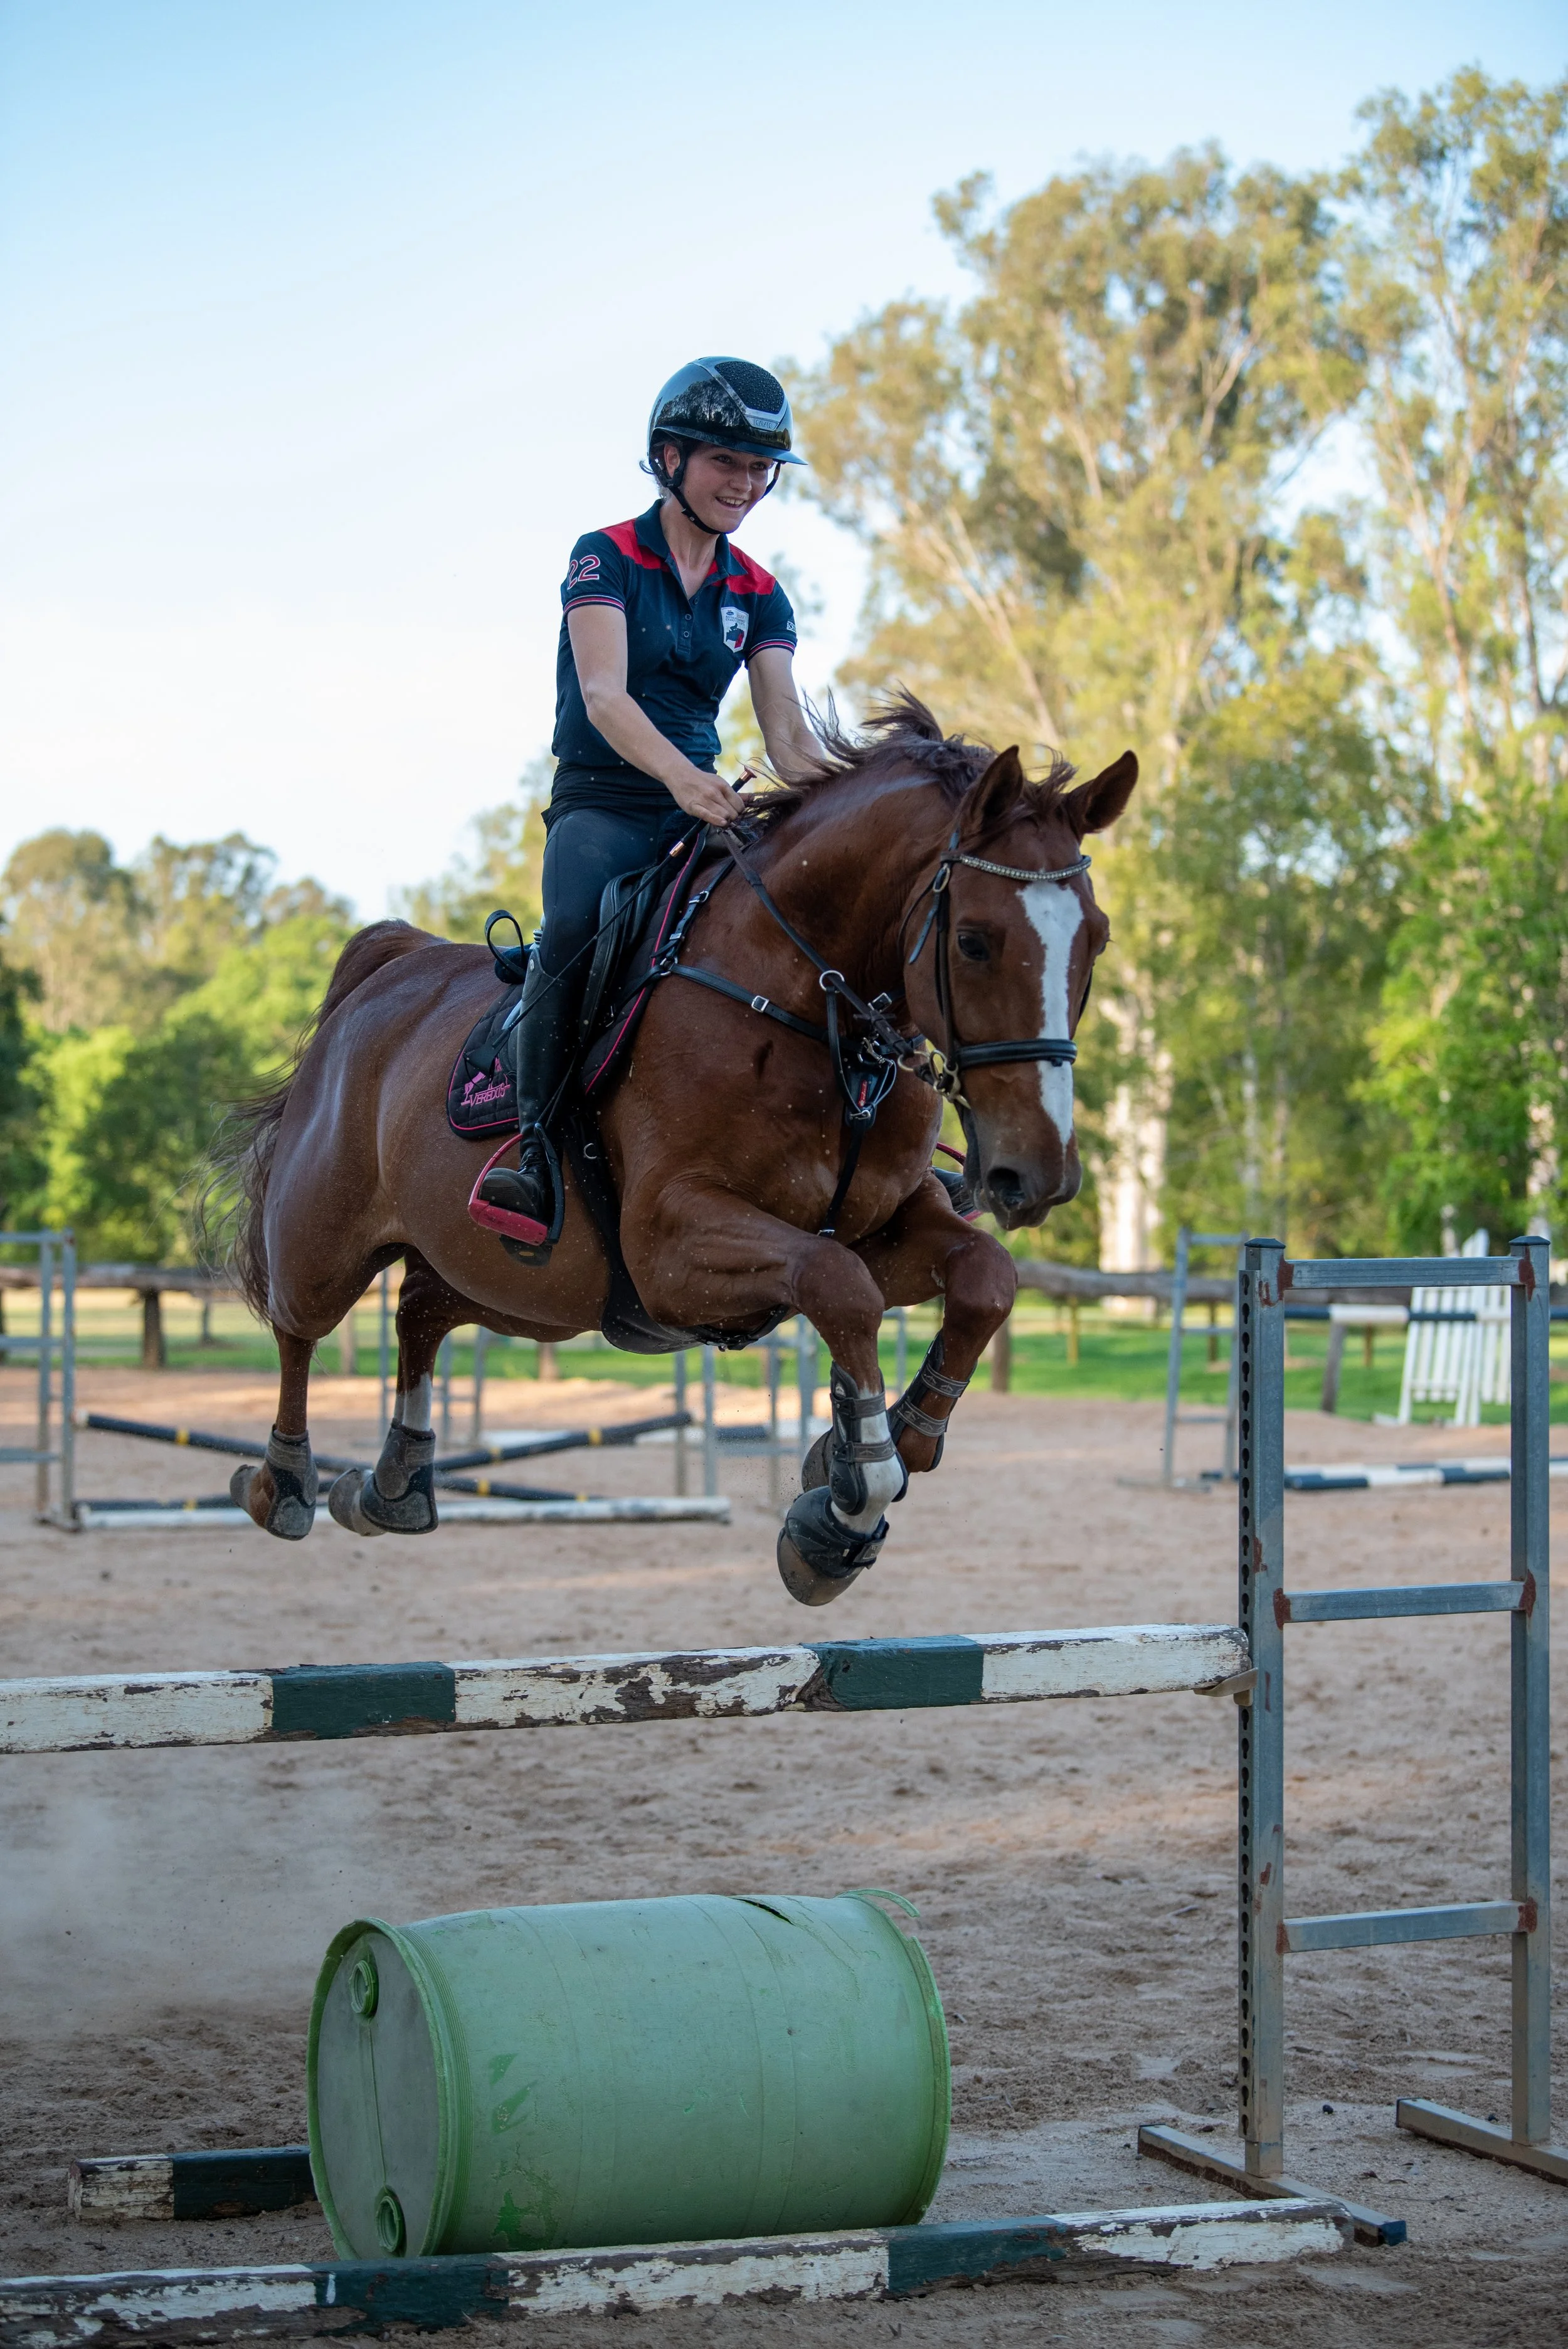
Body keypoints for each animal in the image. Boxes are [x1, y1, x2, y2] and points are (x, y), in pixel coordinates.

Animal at [214, 696, 1137, 1604]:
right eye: (975, 939)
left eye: (1096, 938)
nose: (1037, 1174)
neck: (810, 1011)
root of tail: (389, 967)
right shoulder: (669, 1243)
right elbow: (839, 1287)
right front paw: (845, 1503)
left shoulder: (884, 1223)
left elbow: (983, 1279)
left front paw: (886, 1445)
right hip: (327, 1239)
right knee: (299, 1324)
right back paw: (283, 1482)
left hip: (518, 1286)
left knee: (420, 1310)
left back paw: (395, 1482)